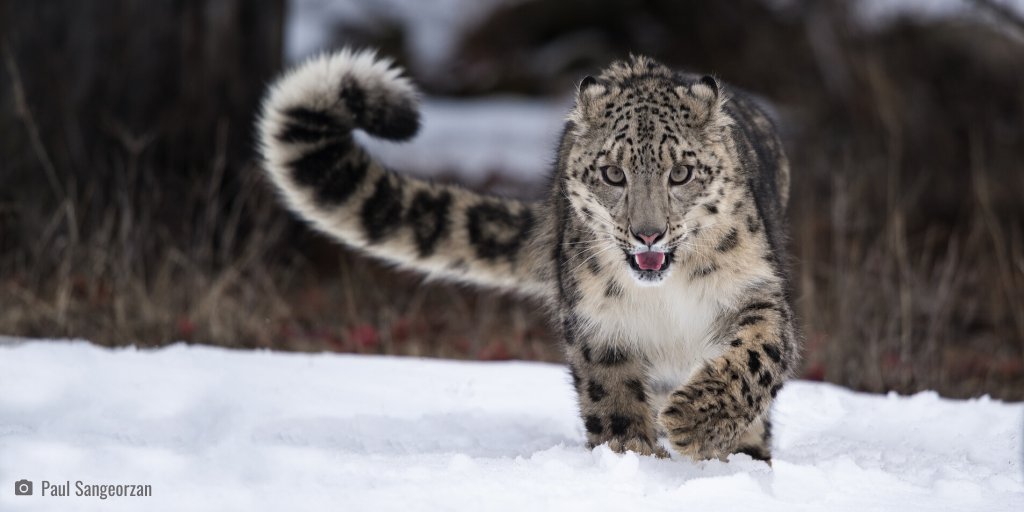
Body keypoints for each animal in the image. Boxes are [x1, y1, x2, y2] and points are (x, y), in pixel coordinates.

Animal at [257, 48, 799, 462]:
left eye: (681, 173)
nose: (648, 234)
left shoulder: (755, 294)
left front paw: (694, 422)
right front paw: (632, 460)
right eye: (613, 174)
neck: (664, 299)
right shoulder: (597, 325)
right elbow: (613, 400)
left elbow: (757, 357)